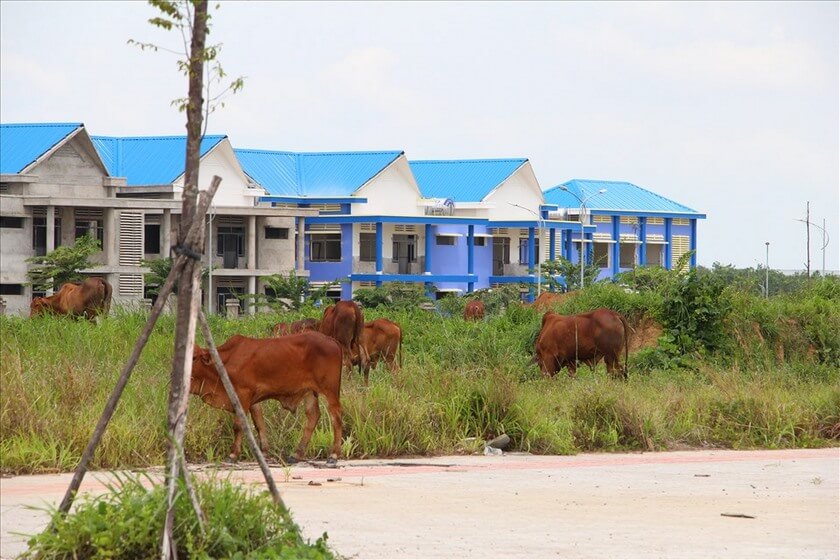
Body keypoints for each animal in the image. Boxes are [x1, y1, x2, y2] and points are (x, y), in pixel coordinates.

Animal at [191, 330, 344, 466]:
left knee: (336, 417)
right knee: (313, 415)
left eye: (194, 357)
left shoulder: (243, 394)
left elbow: (239, 425)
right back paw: (296, 455)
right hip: (309, 392)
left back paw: (333, 455)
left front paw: (233, 455)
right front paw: (263, 452)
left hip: (329, 390)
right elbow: (259, 423)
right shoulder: (252, 400)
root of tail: (331, 340)